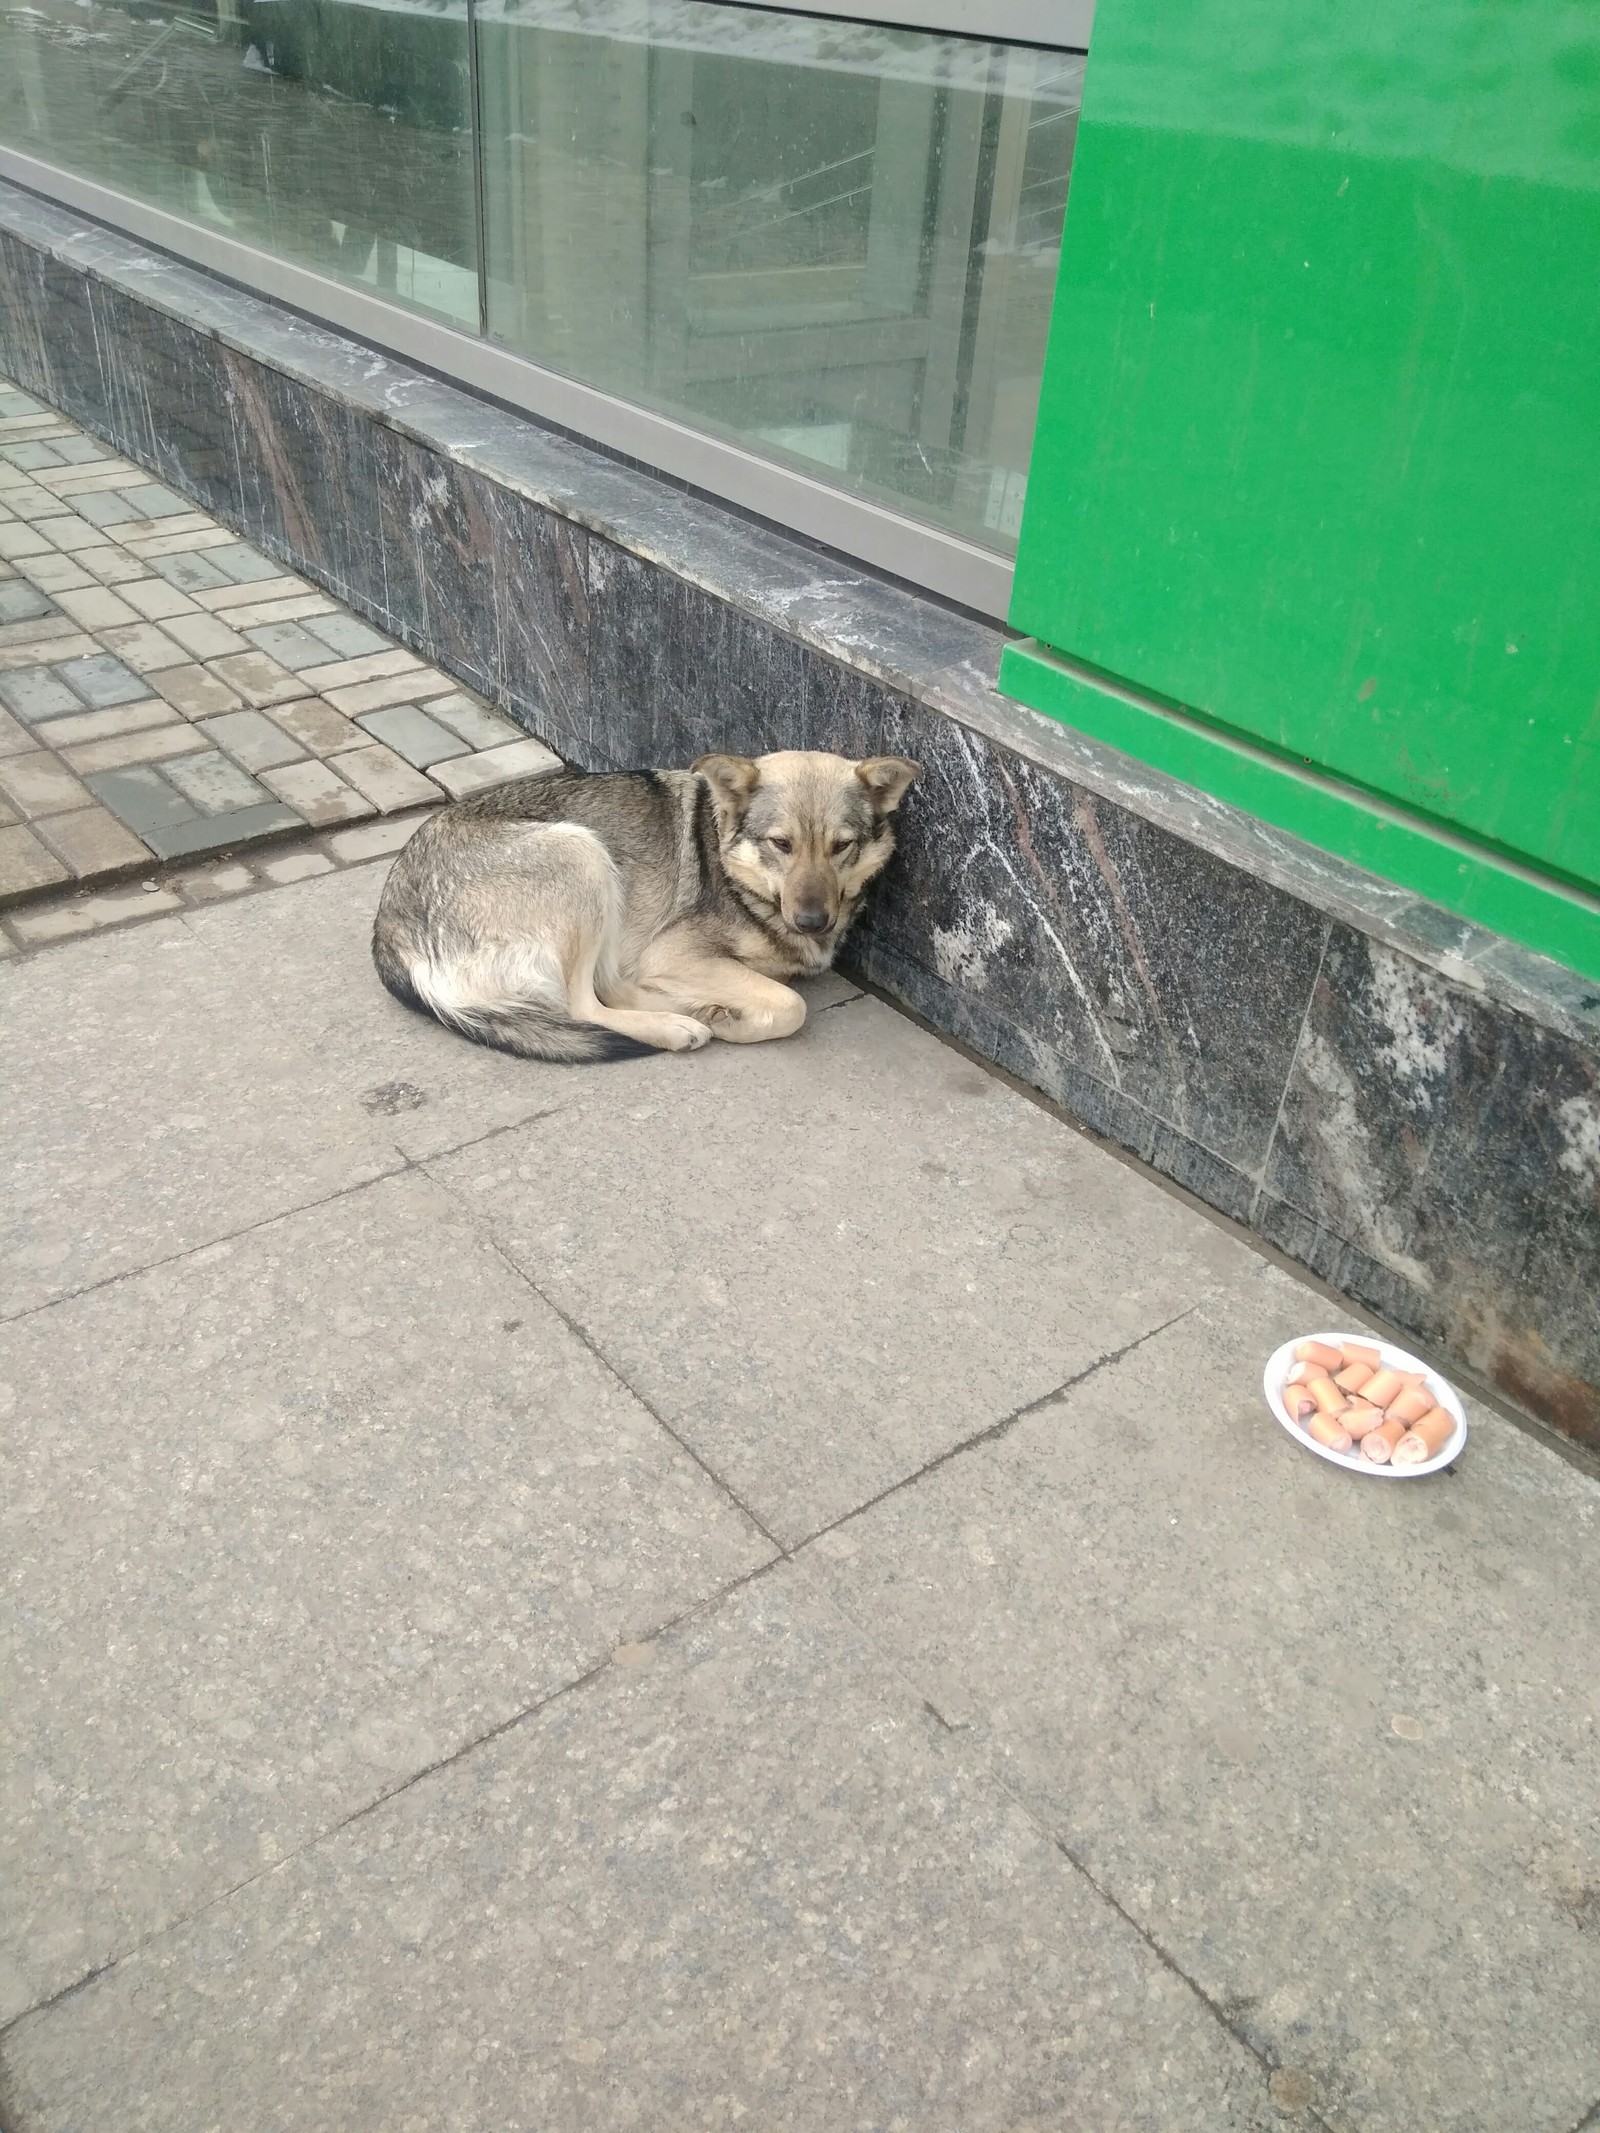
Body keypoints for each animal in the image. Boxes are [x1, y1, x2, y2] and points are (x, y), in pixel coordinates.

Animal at [371, 750, 921, 1066]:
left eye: (841, 846)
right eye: (781, 844)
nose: (811, 922)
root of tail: (388, 927)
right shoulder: (673, 954)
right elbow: (792, 1006)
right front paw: (734, 1021)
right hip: (582, 854)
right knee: (588, 1001)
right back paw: (680, 1023)